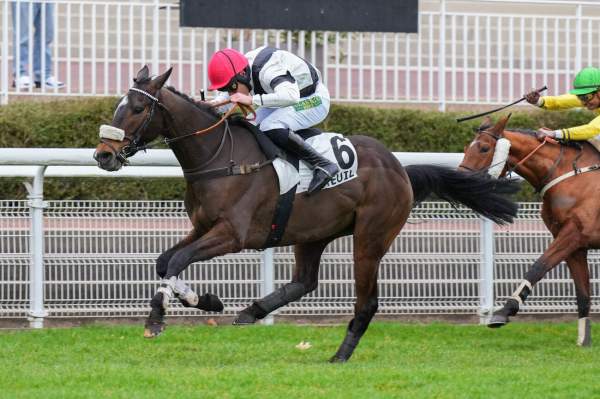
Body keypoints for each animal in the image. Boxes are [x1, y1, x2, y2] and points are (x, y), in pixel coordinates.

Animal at [95, 67, 520, 364]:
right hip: (313, 233)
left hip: (370, 238)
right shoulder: (202, 226)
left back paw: (341, 353)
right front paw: (196, 304)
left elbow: (178, 260)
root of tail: (400, 168)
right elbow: (165, 260)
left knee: (366, 301)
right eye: (118, 106)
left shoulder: (233, 233)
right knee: (304, 280)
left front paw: (170, 314)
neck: (220, 156)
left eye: (137, 108)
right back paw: (252, 311)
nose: (103, 154)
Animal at [460, 115, 596, 346]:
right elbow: (582, 292)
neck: (572, 176)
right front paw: (583, 340)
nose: (460, 180)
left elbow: (538, 266)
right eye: (466, 147)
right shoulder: (574, 243)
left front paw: (504, 311)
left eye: (484, 148)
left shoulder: (573, 233)